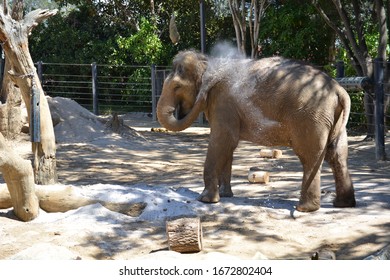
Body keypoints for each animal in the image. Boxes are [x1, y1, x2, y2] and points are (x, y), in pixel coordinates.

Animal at [156, 50, 356, 212]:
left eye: (177, 87)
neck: (208, 61)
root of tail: (339, 90)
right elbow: (227, 146)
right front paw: (226, 195)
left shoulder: (223, 102)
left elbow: (223, 140)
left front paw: (205, 200)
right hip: (332, 120)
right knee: (337, 155)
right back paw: (342, 205)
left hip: (311, 118)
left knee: (310, 157)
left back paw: (305, 209)